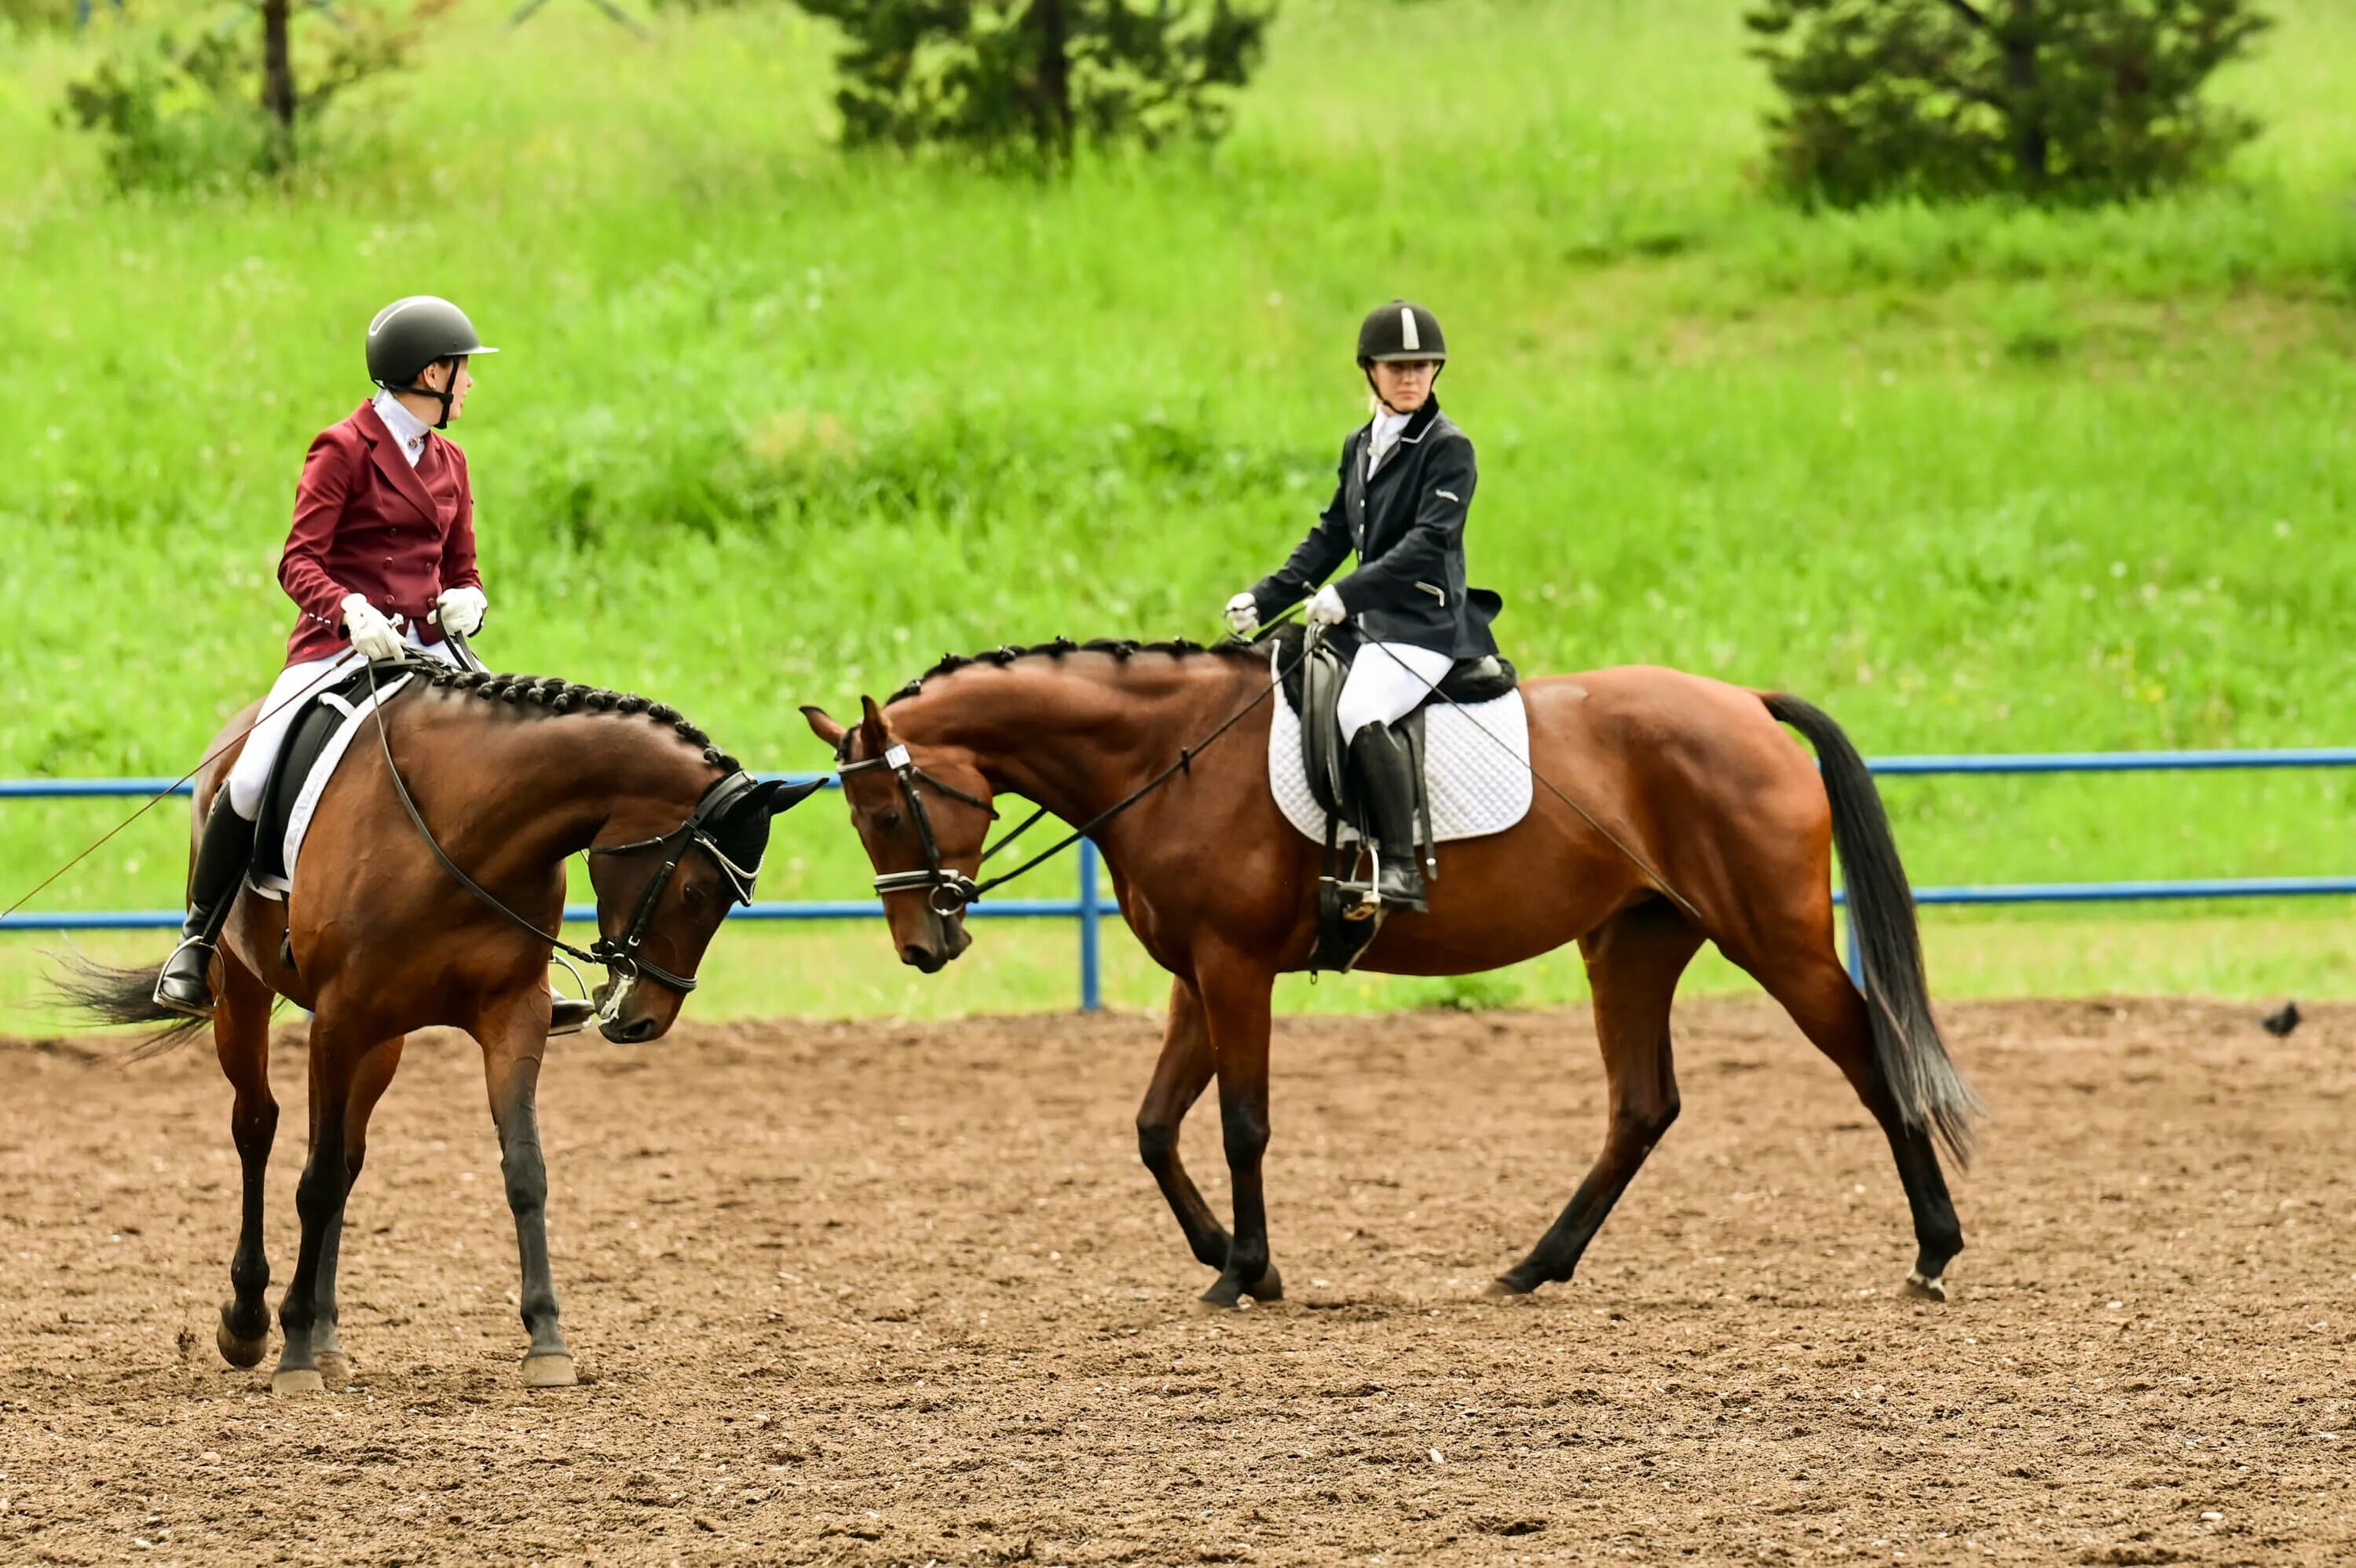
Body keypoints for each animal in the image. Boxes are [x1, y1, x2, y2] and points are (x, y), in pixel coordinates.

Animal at [67, 659, 820, 1394]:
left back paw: (326, 1338)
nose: (644, 1020)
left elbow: (523, 1168)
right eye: (695, 889)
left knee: (346, 1158)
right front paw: (291, 1353)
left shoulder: (510, 1014)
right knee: (258, 1128)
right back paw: (253, 1321)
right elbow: (313, 1180)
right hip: (247, 995)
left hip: (383, 1041)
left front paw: (547, 1341)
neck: (467, 828)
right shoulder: (336, 1020)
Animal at [801, 635, 1979, 1309]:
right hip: (1633, 942)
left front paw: (1242, 1272)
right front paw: (1235, 1256)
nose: (923, 946)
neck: (1172, 754)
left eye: (885, 810)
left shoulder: (1235, 968)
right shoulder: (1195, 974)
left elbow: (1241, 1124)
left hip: (1774, 940)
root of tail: (1744, 702)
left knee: (1874, 1065)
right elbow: (1154, 1126)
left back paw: (1935, 1253)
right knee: (1642, 1105)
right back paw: (1534, 1266)